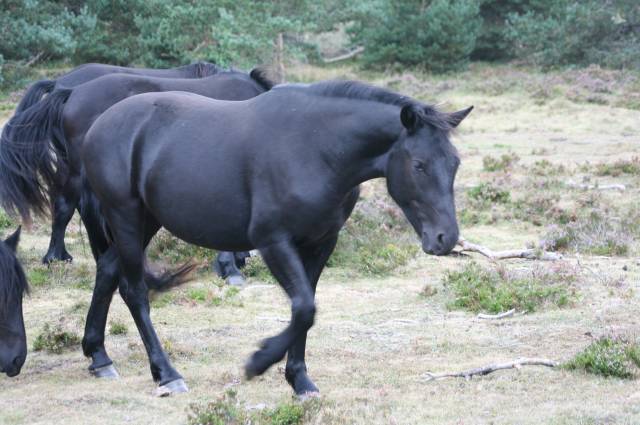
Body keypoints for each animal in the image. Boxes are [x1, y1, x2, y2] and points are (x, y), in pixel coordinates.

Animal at [79, 80, 470, 394]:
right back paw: (167, 373)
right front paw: (259, 361)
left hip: (146, 222)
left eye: (454, 163)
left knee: (108, 270)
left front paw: (300, 380)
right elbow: (304, 308)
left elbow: (306, 307)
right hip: (127, 218)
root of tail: (98, 125)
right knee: (133, 291)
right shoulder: (273, 242)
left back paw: (99, 356)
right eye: (418, 165)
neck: (317, 148)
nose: (445, 238)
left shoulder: (320, 243)